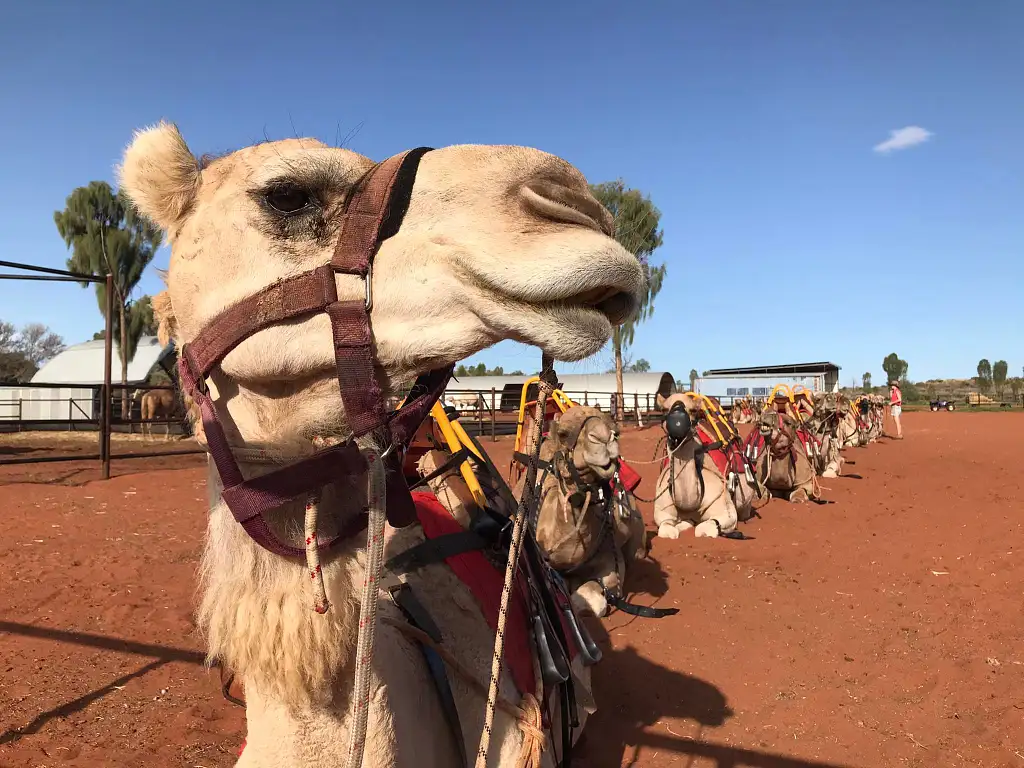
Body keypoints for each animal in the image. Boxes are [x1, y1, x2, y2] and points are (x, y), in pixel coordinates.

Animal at [651, 397, 757, 540]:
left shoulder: (725, 508)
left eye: (693, 410)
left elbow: (703, 528)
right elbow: (666, 528)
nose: (678, 422)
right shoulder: (663, 514)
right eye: (664, 409)